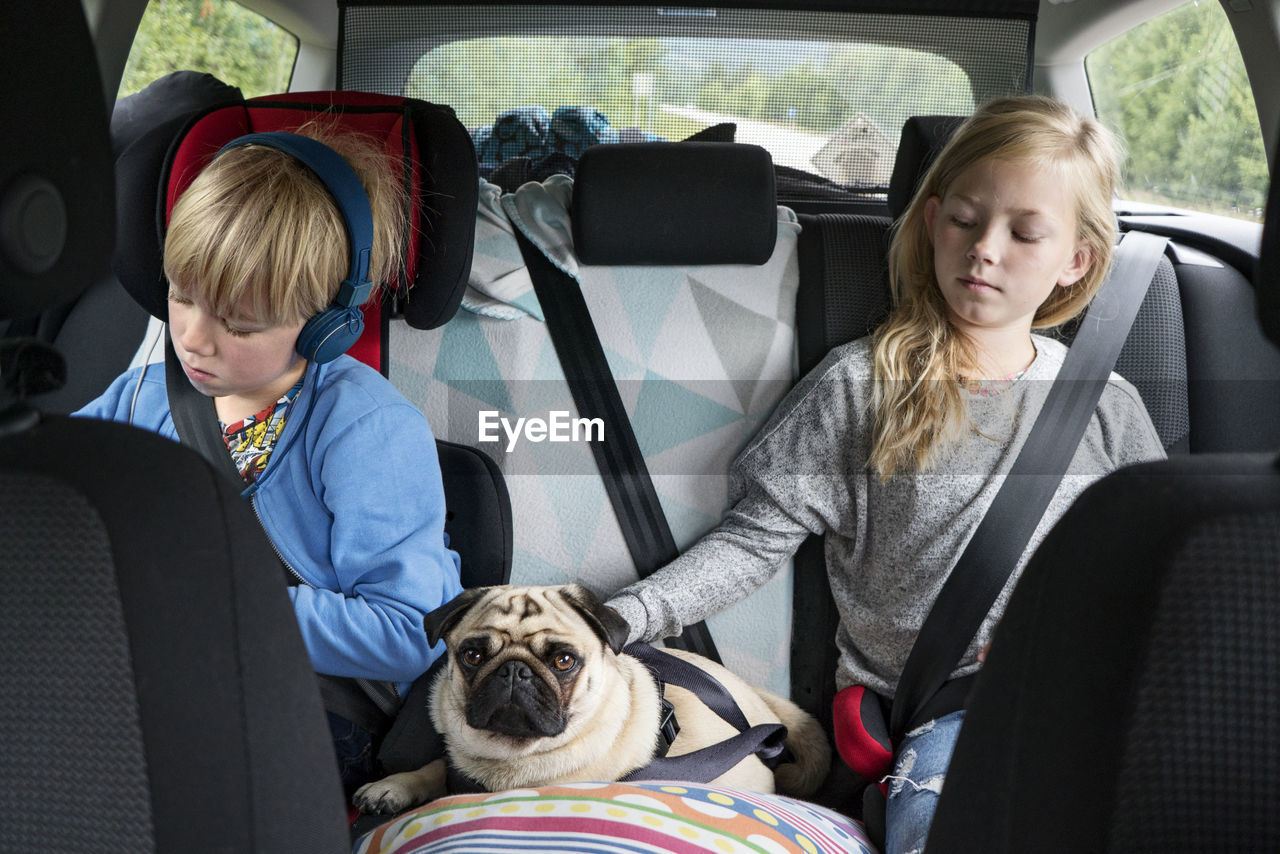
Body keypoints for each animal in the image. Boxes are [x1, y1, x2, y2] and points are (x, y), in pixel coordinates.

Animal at [350, 581, 829, 814]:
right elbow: (433, 768)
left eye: (564, 661)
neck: (508, 760)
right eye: (472, 656)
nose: (514, 670)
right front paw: (393, 786)